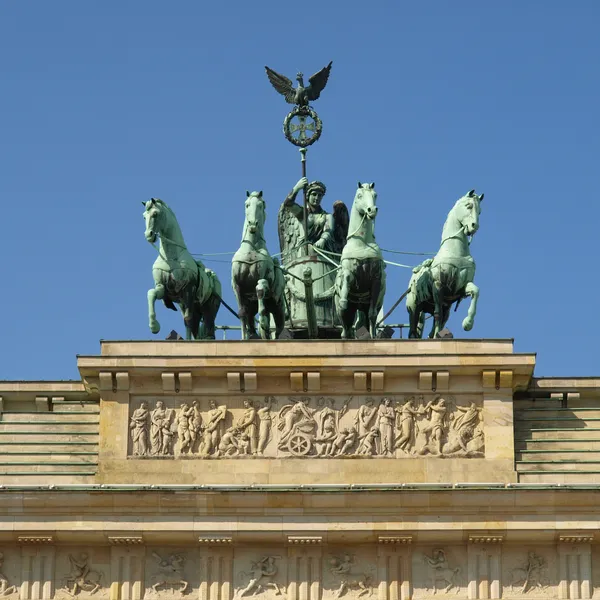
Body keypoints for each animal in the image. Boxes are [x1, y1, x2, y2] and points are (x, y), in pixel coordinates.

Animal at [144, 199, 223, 340]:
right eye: (143, 216)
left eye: (155, 214)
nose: (148, 235)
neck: (171, 257)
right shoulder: (162, 288)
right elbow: (151, 293)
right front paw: (154, 326)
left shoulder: (188, 290)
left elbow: (188, 319)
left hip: (209, 306)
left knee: (207, 324)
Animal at [231, 191, 284, 338]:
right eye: (247, 204)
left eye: (261, 205)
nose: (253, 224)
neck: (251, 249)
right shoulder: (237, 285)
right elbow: (241, 314)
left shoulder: (262, 277)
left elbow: (260, 289)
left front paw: (264, 324)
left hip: (278, 309)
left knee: (278, 329)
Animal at [336, 183, 386, 340]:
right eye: (359, 195)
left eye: (375, 195)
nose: (372, 210)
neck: (362, 243)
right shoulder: (350, 273)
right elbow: (347, 276)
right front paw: (344, 299)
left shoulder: (376, 279)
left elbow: (372, 314)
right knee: (345, 329)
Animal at [406, 189, 486, 338]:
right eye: (468, 206)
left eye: (480, 211)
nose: (474, 226)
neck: (455, 251)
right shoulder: (438, 285)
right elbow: (438, 314)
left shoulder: (461, 287)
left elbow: (476, 291)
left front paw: (468, 323)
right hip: (414, 306)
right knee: (413, 328)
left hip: (443, 307)